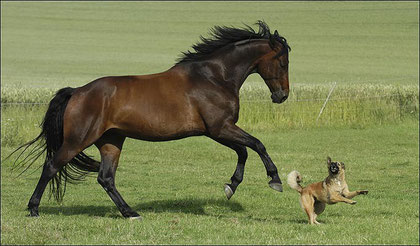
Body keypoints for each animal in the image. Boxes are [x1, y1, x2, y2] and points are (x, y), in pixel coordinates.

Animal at [10, 20, 292, 218]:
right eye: (283, 62)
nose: (282, 96)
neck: (214, 76)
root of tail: (77, 91)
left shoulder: (217, 131)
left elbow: (243, 151)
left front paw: (231, 186)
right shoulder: (220, 128)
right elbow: (256, 145)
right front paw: (274, 180)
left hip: (111, 141)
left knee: (106, 178)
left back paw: (130, 213)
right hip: (78, 140)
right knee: (51, 166)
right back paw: (33, 209)